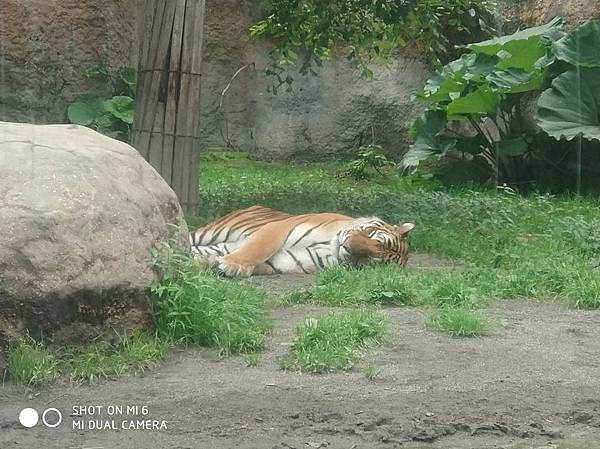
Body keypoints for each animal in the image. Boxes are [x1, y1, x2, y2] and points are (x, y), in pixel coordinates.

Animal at [190, 206, 414, 276]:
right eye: (370, 234)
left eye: (369, 258)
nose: (347, 245)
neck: (330, 247)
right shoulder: (279, 228)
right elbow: (259, 247)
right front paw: (232, 264)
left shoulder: (289, 260)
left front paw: (215, 264)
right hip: (209, 233)